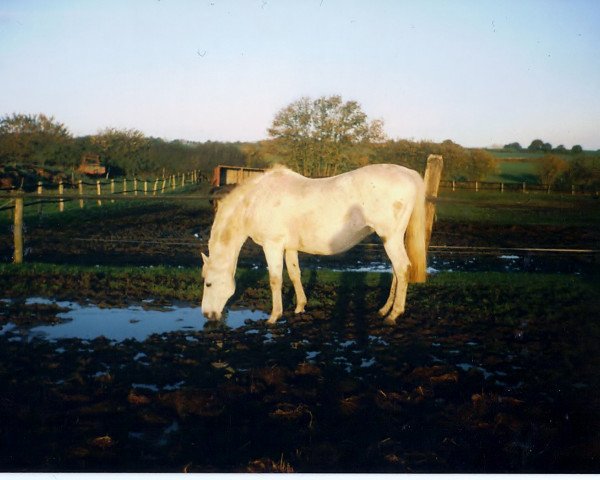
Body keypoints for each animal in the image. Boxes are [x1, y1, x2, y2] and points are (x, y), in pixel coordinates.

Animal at [202, 165, 426, 326]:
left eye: (208, 284)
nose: (207, 314)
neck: (256, 200)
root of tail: (409, 173)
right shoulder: (289, 247)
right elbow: (295, 274)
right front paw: (300, 307)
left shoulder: (272, 245)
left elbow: (275, 279)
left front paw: (274, 317)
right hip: (393, 238)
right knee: (396, 271)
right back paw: (384, 310)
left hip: (391, 237)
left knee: (402, 269)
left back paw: (393, 315)